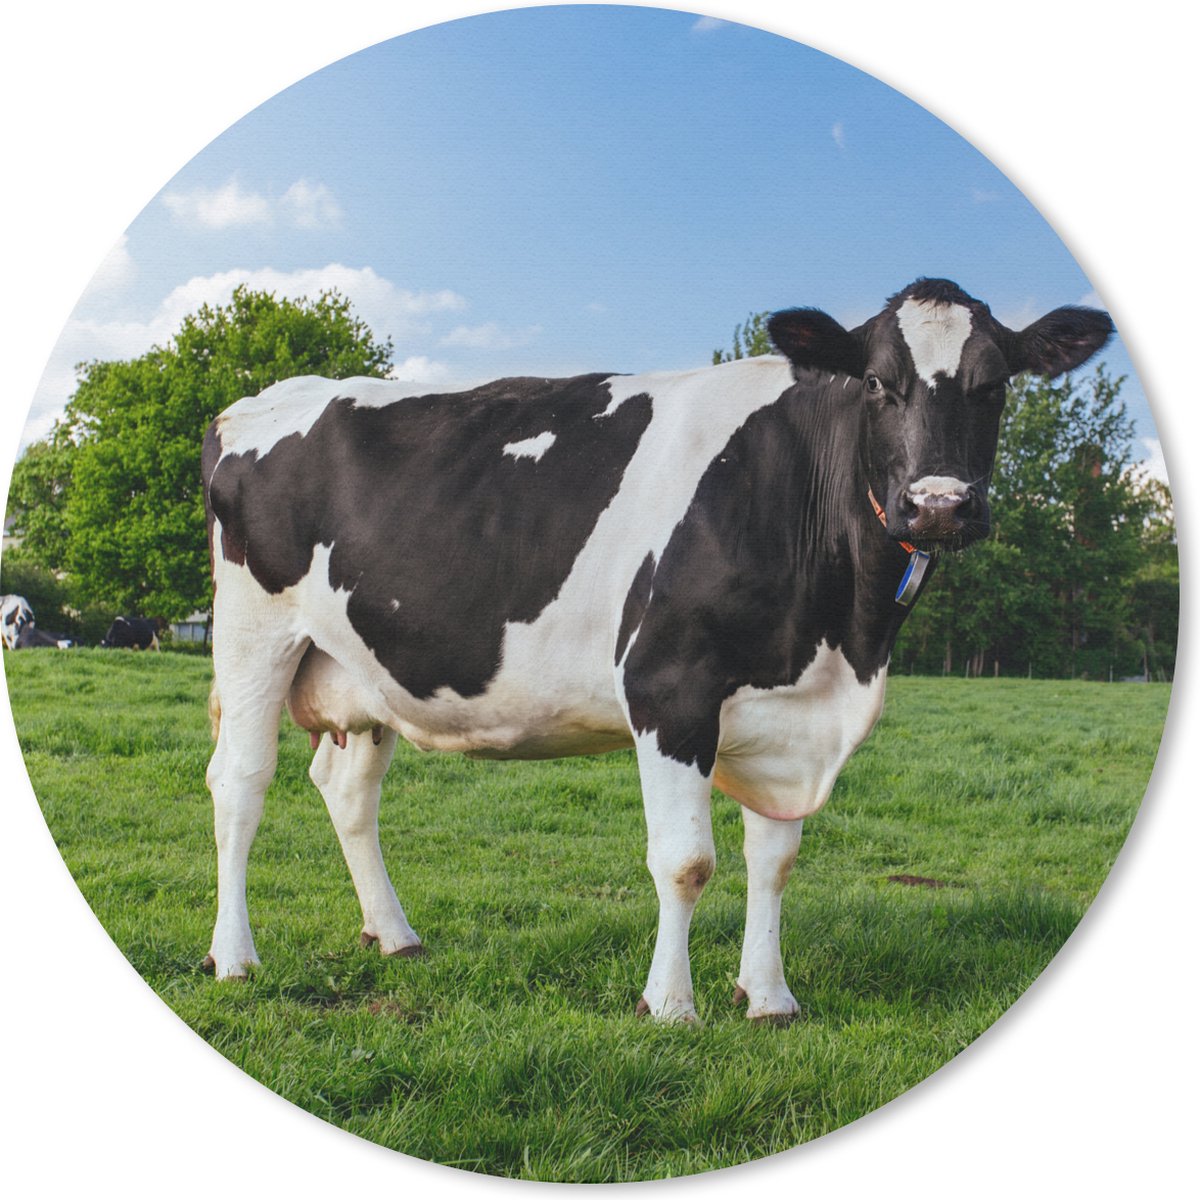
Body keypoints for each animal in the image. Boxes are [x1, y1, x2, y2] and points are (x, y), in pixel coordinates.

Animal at [201, 278, 1112, 1022]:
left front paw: (769, 997)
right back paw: (235, 957)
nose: (939, 506)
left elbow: (774, 859)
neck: (840, 642)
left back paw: (394, 934)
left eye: (995, 385)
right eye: (879, 382)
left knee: (347, 791)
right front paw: (670, 1005)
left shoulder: (785, 711)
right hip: (253, 633)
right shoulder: (669, 687)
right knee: (241, 782)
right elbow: (686, 862)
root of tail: (260, 400)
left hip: (365, 668)